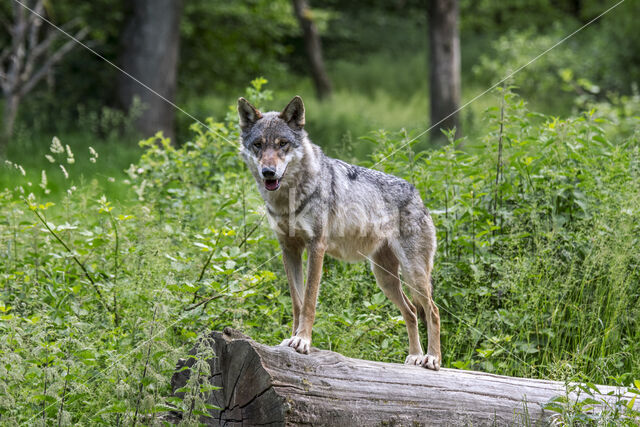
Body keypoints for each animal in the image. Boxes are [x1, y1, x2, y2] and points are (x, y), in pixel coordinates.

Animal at [238, 95, 442, 370]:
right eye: (258, 145)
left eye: (282, 144)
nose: (268, 172)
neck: (288, 199)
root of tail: (417, 193)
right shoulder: (289, 250)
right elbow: (296, 303)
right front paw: (291, 339)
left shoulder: (316, 247)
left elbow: (309, 301)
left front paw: (303, 341)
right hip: (385, 278)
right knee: (410, 311)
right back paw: (414, 357)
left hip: (413, 274)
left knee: (433, 311)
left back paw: (432, 358)